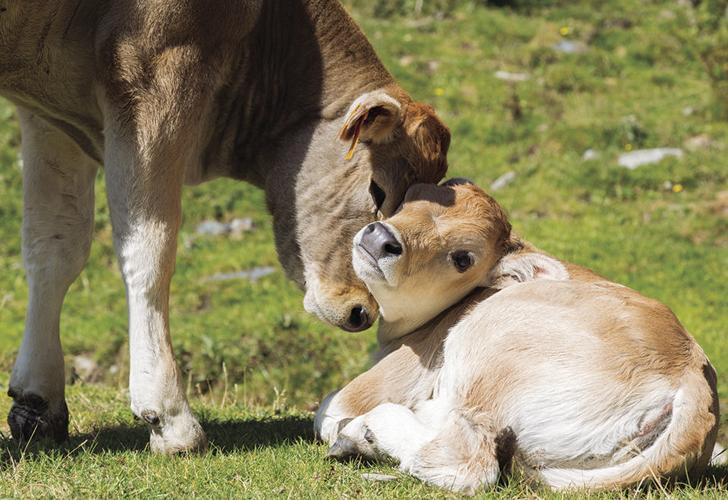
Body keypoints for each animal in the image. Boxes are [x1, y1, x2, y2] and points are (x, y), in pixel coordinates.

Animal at [1, 0, 450, 454]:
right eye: (377, 190)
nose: (362, 312)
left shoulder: (49, 116)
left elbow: (55, 247)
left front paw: (37, 400)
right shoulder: (155, 76)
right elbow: (148, 249)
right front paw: (169, 417)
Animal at [316, 180, 720, 492]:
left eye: (463, 258)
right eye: (409, 198)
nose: (381, 237)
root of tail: (691, 374)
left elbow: (328, 409)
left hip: (491, 351)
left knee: (466, 460)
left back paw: (366, 433)